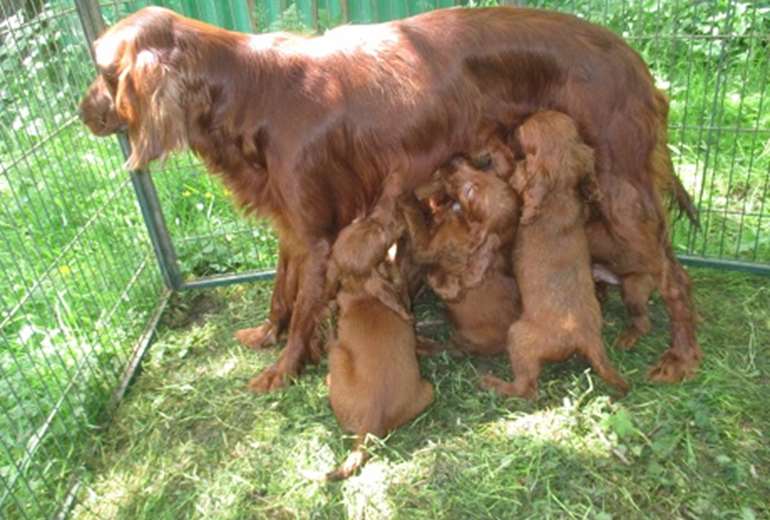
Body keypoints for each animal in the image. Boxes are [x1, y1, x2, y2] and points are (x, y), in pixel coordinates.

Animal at [322, 217, 432, 482]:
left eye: (360, 223)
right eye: (379, 233)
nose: (396, 220)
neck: (361, 292)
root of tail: (370, 423)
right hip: (427, 390)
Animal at [480, 111, 632, 400]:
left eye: (522, 130)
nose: (512, 125)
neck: (559, 192)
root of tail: (586, 337)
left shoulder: (517, 179)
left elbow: (508, 167)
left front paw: (494, 141)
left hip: (518, 334)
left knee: (526, 388)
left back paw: (494, 383)